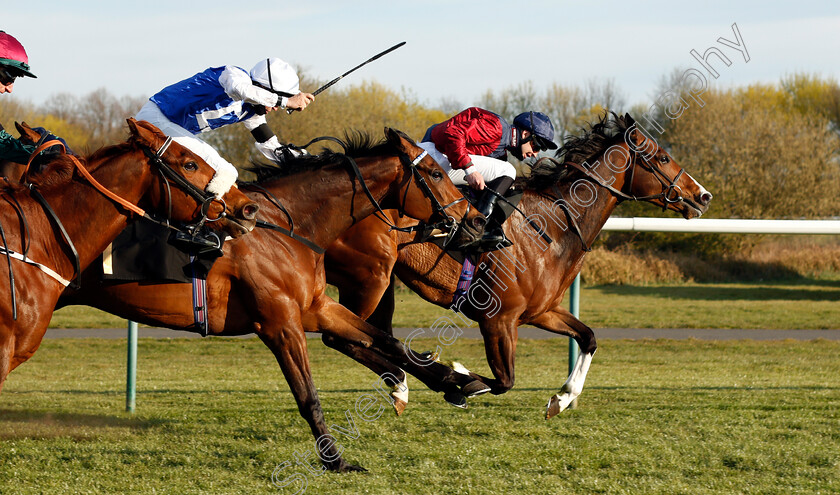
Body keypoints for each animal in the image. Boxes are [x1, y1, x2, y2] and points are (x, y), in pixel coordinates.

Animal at [57, 128, 486, 472]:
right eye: (435, 173)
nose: (478, 221)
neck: (286, 225)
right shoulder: (280, 321)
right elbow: (309, 395)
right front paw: (335, 460)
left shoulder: (315, 306)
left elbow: (387, 340)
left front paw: (459, 381)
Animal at [324, 112, 712, 418]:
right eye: (662, 157)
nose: (703, 196)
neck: (554, 226)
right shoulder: (498, 319)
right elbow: (503, 381)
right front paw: (461, 377)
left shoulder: (541, 311)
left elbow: (588, 337)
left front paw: (563, 398)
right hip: (370, 278)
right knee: (343, 336)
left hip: (381, 281)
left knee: (374, 336)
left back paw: (402, 384)